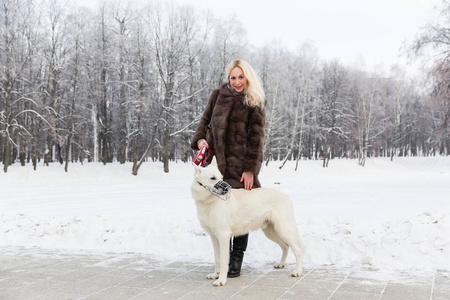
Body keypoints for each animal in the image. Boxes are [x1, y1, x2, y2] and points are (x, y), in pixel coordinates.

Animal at [192, 157, 304, 286]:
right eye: (212, 178)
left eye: (221, 177)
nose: (227, 188)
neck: (209, 203)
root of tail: (286, 196)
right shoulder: (214, 237)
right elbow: (217, 259)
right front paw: (216, 275)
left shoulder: (223, 236)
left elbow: (224, 261)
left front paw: (221, 280)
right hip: (271, 232)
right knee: (285, 247)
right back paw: (281, 264)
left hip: (283, 230)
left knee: (298, 250)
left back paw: (297, 272)